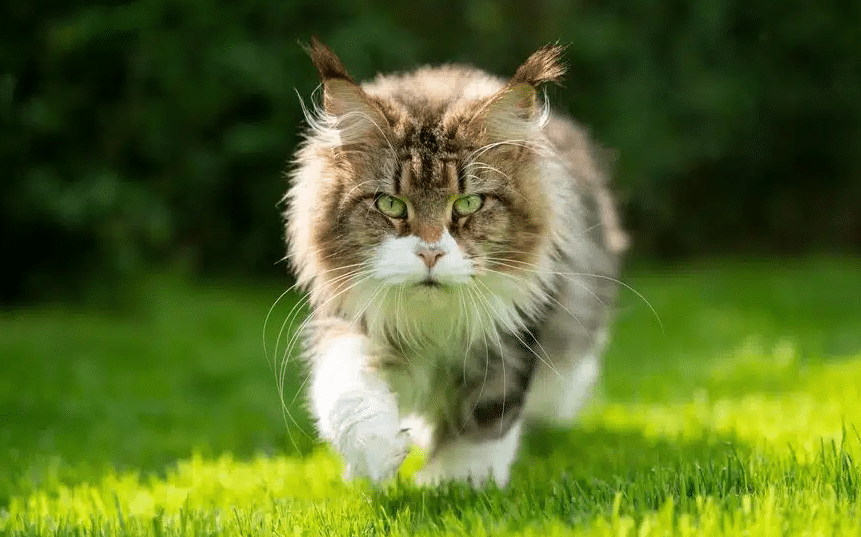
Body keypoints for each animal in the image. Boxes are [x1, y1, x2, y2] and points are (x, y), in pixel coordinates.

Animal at [282, 38, 624, 486]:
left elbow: (486, 419)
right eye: (390, 204)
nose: (430, 253)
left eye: (468, 203)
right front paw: (378, 454)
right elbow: (346, 387)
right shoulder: (350, 318)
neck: (432, 326)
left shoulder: (509, 339)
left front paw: (455, 482)